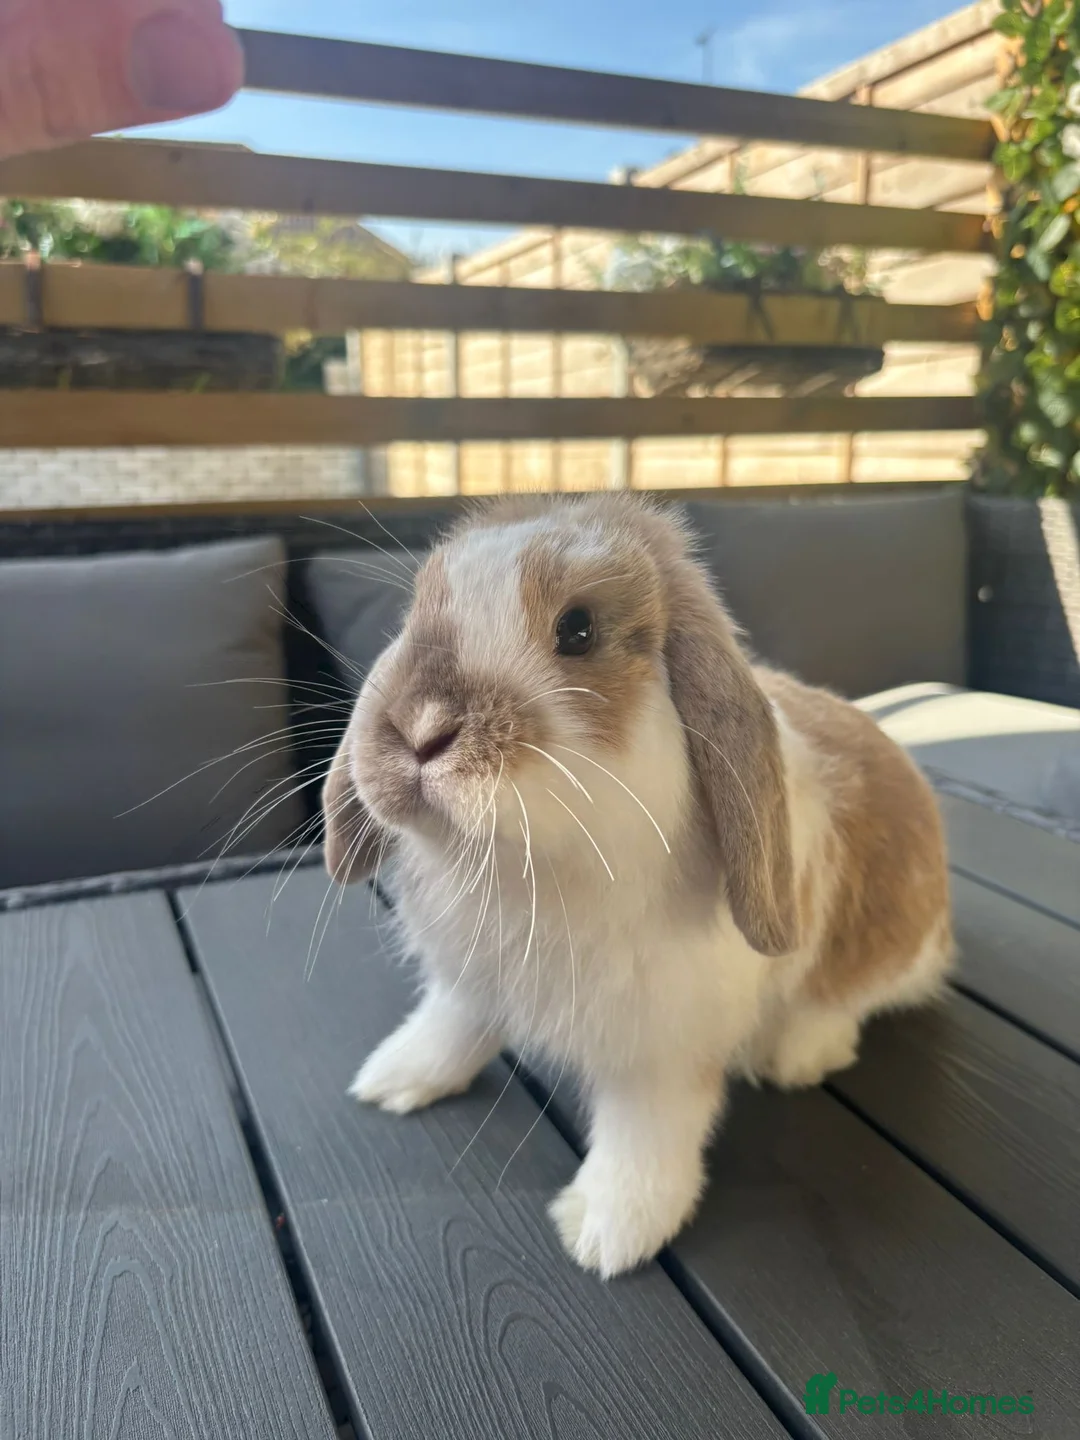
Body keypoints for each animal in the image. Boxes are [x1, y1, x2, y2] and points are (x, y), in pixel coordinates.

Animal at [322, 494, 954, 1278]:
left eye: (578, 630)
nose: (419, 730)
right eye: (415, 616)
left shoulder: (662, 1049)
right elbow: (451, 1026)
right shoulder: (470, 982)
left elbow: (644, 1133)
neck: (523, 873)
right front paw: (396, 1077)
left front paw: (608, 1233)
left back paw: (797, 1054)